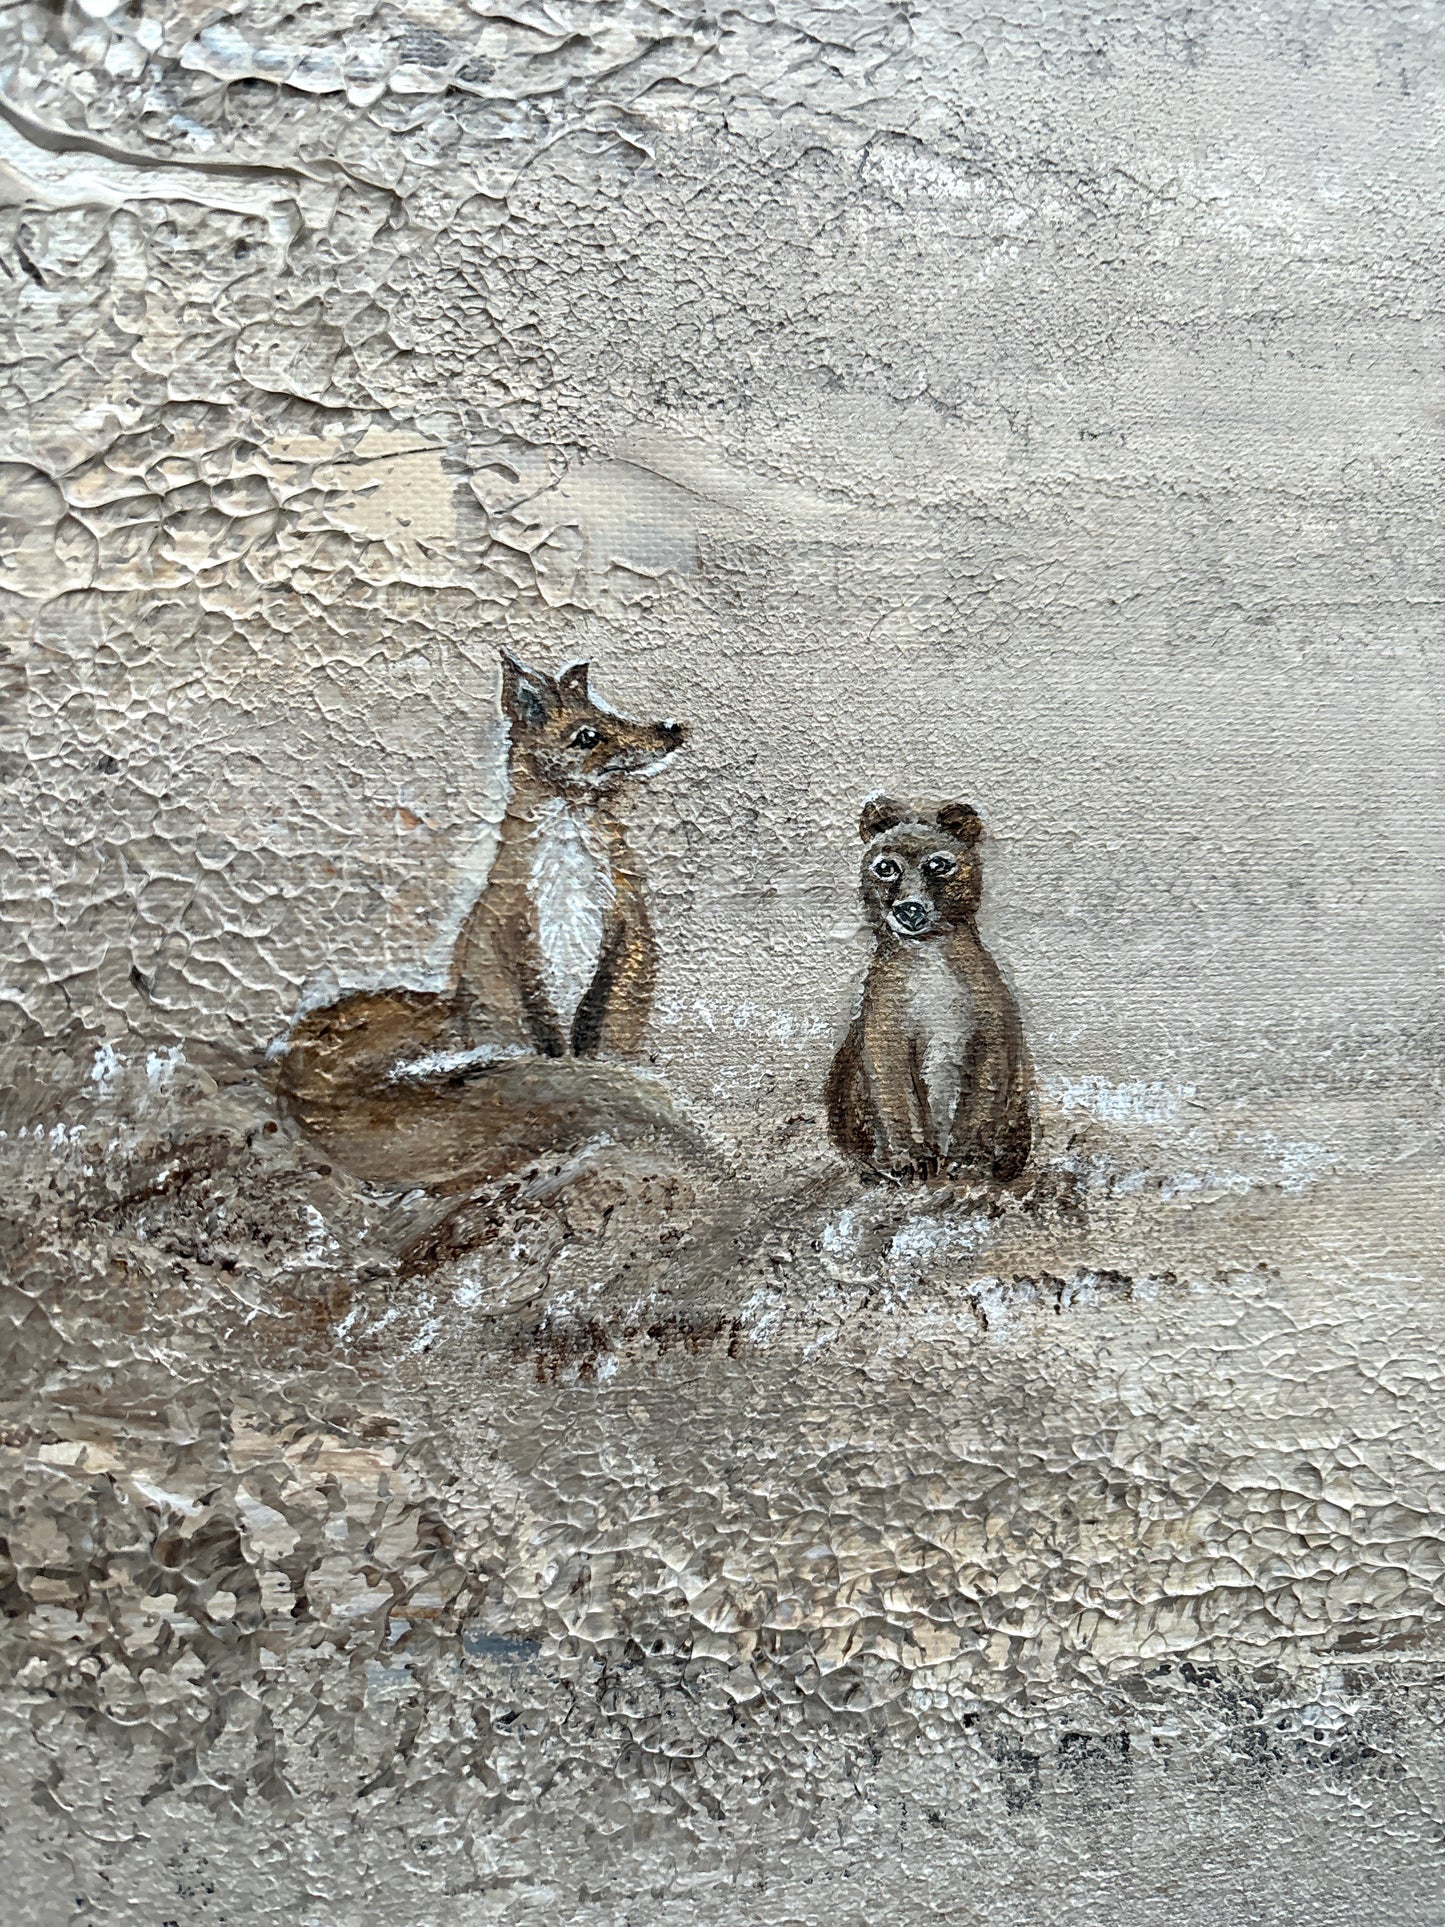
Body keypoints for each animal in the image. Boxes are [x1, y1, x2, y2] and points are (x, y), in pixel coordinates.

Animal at [271, 652, 695, 1190]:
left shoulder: (621, 938)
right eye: (588, 735)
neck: (570, 885)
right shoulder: (525, 945)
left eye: (614, 715)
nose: (672, 729)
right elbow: (552, 1041)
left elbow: (595, 1029)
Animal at [824, 795, 1033, 1184]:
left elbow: (981, 1102)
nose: (909, 909)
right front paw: (912, 1159)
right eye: (886, 867)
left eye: (938, 864)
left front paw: (969, 1160)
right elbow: (897, 1099)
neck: (929, 960)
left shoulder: (993, 1033)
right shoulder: (883, 1034)